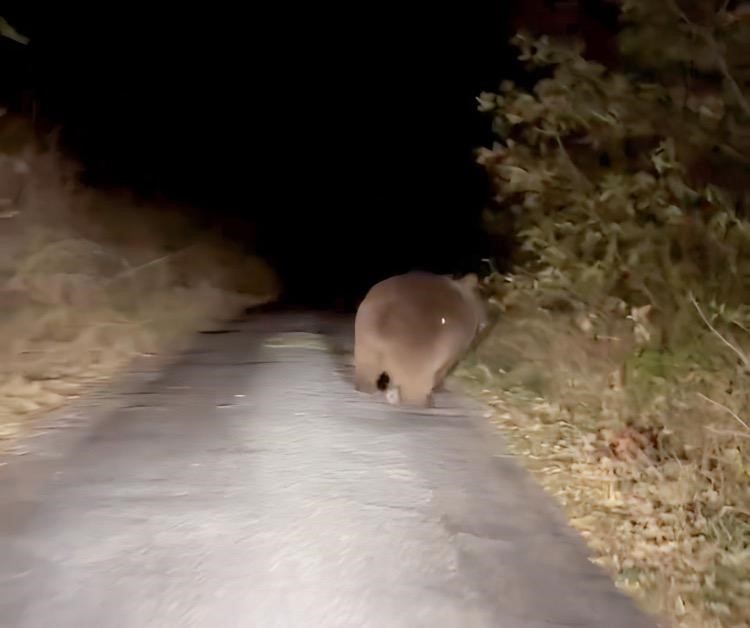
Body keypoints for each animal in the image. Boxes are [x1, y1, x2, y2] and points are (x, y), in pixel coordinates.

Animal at [356, 270, 490, 408]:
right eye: (480, 295)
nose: (486, 321)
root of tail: (387, 311)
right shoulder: (452, 355)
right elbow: (442, 372)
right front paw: (439, 389)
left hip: (365, 348)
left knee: (366, 375)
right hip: (416, 361)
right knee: (414, 390)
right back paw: (426, 403)